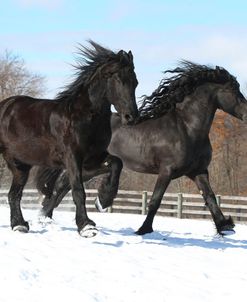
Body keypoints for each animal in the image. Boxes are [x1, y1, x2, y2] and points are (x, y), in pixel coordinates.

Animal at [0, 40, 139, 237]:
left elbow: (116, 163)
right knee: (14, 194)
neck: (85, 117)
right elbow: (78, 190)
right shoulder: (72, 158)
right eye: (118, 79)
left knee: (14, 194)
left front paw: (103, 201)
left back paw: (19, 225)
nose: (131, 117)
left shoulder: (91, 160)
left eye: (135, 82)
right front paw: (86, 226)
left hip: (21, 166)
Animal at [35, 60, 247, 236]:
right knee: (64, 184)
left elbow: (210, 197)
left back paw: (48, 216)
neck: (187, 128)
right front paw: (143, 229)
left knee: (64, 184)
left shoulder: (198, 171)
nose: (246, 114)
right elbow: (155, 201)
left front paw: (225, 226)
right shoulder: (167, 171)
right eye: (233, 89)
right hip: (89, 165)